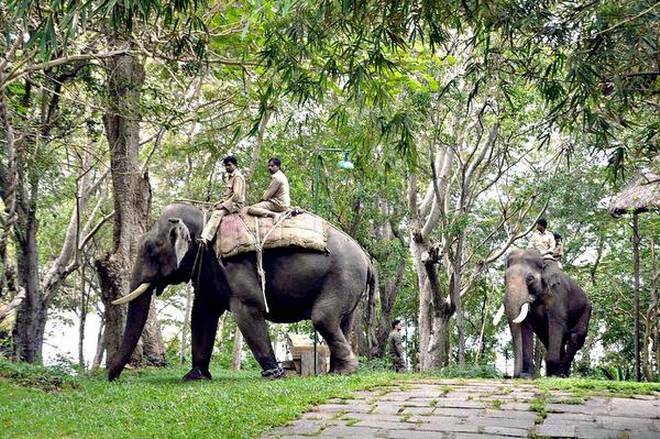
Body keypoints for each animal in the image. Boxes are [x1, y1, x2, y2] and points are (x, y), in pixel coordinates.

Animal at [109, 205, 376, 382]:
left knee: (323, 318)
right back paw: (337, 371)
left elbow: (247, 309)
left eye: (151, 248)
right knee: (343, 323)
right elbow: (202, 315)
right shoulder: (210, 270)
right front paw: (194, 377)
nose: (113, 379)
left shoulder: (235, 265)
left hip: (343, 276)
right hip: (348, 285)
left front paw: (274, 375)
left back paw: (345, 372)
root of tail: (366, 259)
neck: (207, 222)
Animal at [502, 249, 592, 380]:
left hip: (586, 310)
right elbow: (526, 327)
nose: (511, 376)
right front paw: (527, 376)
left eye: (530, 278)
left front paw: (552, 374)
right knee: (548, 338)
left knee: (575, 336)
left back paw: (560, 374)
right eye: (504, 278)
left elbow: (556, 323)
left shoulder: (558, 293)